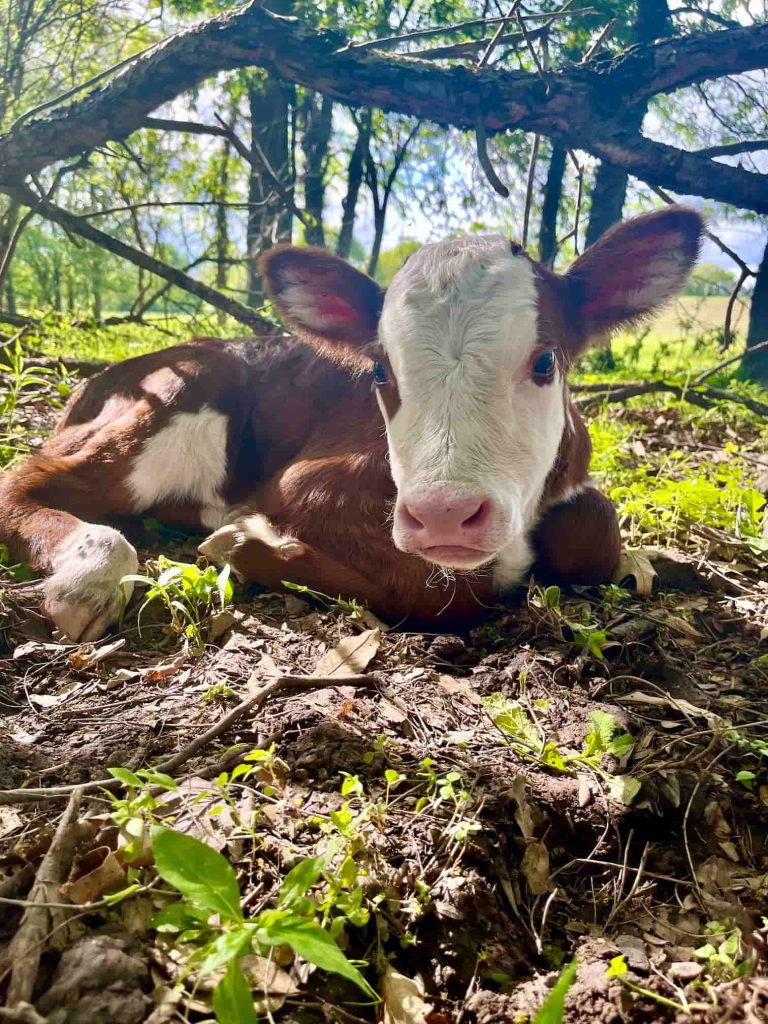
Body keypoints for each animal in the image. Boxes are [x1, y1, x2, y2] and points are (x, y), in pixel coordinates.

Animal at [0, 207, 703, 641]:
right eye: (381, 372)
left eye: (544, 360)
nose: (445, 515)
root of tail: (105, 374)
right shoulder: (308, 483)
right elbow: (443, 587)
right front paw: (246, 540)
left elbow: (595, 529)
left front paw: (633, 557)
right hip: (178, 397)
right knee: (28, 477)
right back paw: (91, 571)